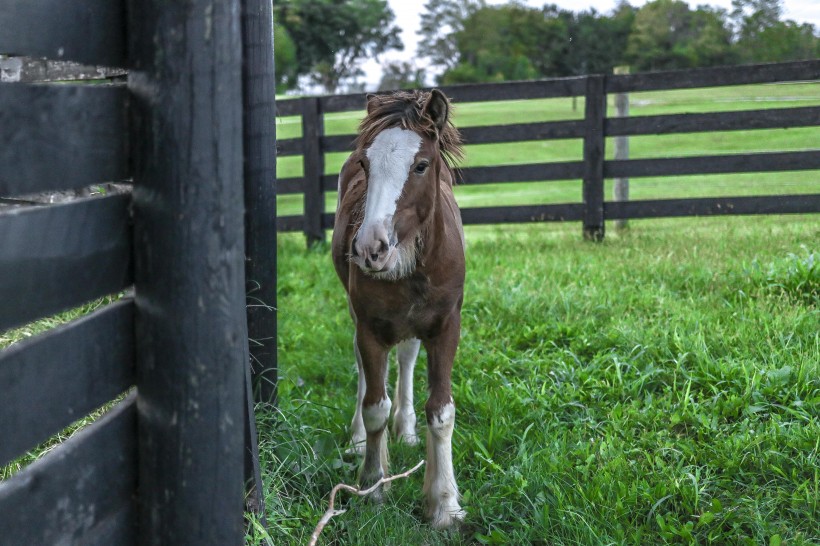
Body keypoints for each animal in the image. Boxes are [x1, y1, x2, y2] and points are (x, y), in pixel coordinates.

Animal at [330, 89, 464, 528]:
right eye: (365, 164)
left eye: (420, 165)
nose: (370, 248)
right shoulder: (370, 327)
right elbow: (374, 406)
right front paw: (372, 486)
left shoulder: (446, 327)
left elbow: (440, 412)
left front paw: (444, 504)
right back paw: (358, 439)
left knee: (405, 356)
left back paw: (405, 429)